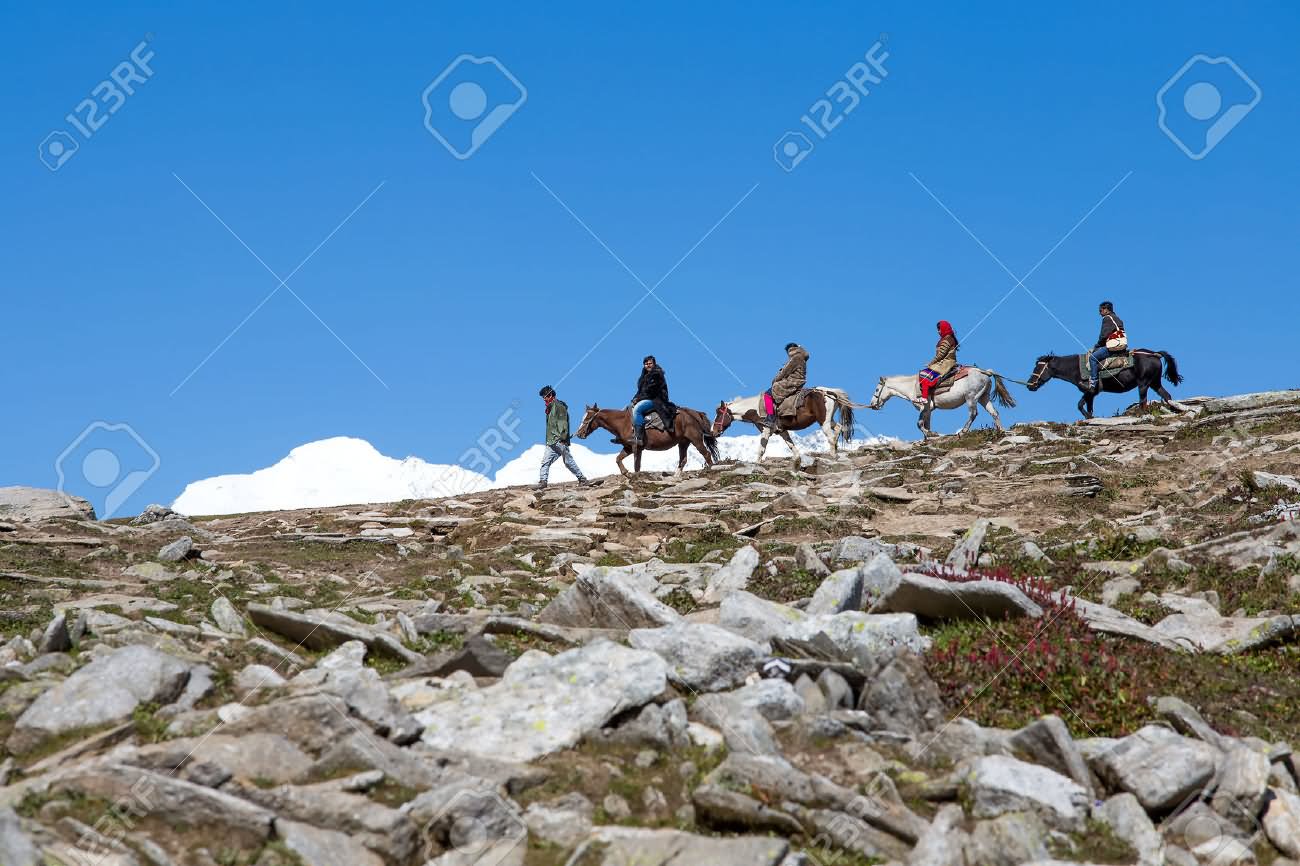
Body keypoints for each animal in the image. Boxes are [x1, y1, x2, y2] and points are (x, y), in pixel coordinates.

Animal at [577, 403, 722, 473]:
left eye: (588, 418)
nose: (579, 433)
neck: (622, 422)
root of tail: (693, 413)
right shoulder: (629, 447)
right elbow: (618, 459)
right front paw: (625, 472)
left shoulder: (636, 447)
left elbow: (636, 465)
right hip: (683, 442)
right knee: (683, 459)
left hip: (696, 439)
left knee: (706, 454)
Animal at [712, 384, 863, 462]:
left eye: (719, 414)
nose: (714, 431)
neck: (757, 408)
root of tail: (830, 392)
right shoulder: (782, 431)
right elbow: (792, 446)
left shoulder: (766, 430)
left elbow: (761, 449)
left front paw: (757, 463)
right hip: (828, 420)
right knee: (839, 428)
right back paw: (836, 451)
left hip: (823, 421)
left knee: (831, 437)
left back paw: (833, 455)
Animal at [873, 366, 1013, 434]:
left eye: (876, 389)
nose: (873, 404)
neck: (912, 385)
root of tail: (985, 372)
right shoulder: (929, 410)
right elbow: (926, 424)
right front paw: (928, 436)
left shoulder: (924, 407)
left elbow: (919, 424)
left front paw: (931, 434)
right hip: (983, 397)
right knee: (994, 413)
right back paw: (1001, 430)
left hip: (971, 398)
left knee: (973, 414)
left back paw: (963, 431)